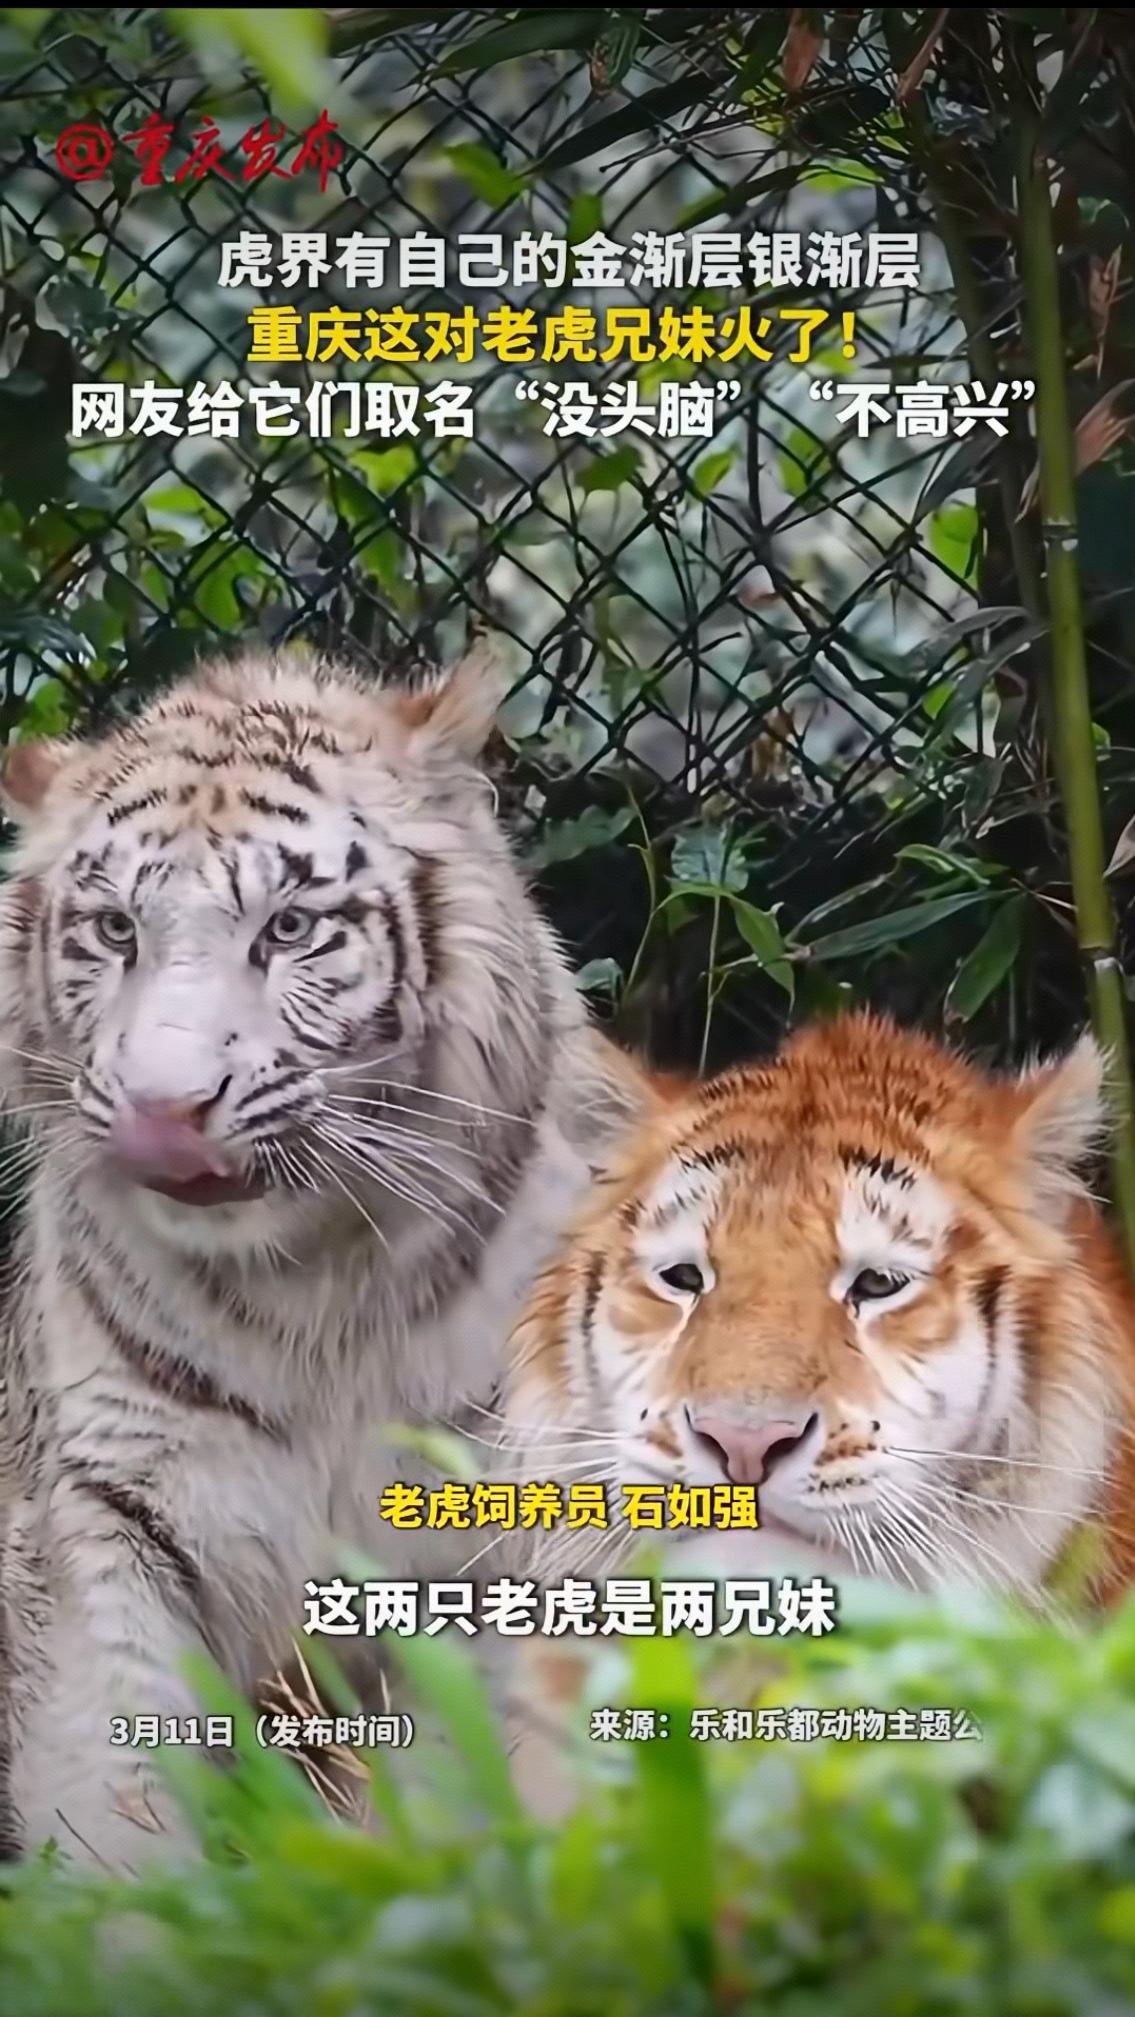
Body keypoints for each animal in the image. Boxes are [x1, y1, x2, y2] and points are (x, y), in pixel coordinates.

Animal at [0, 643, 653, 1869]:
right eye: (115, 931)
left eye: (292, 928)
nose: (163, 1112)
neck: (309, 1290)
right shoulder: (109, 1502)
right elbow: (117, 1769)